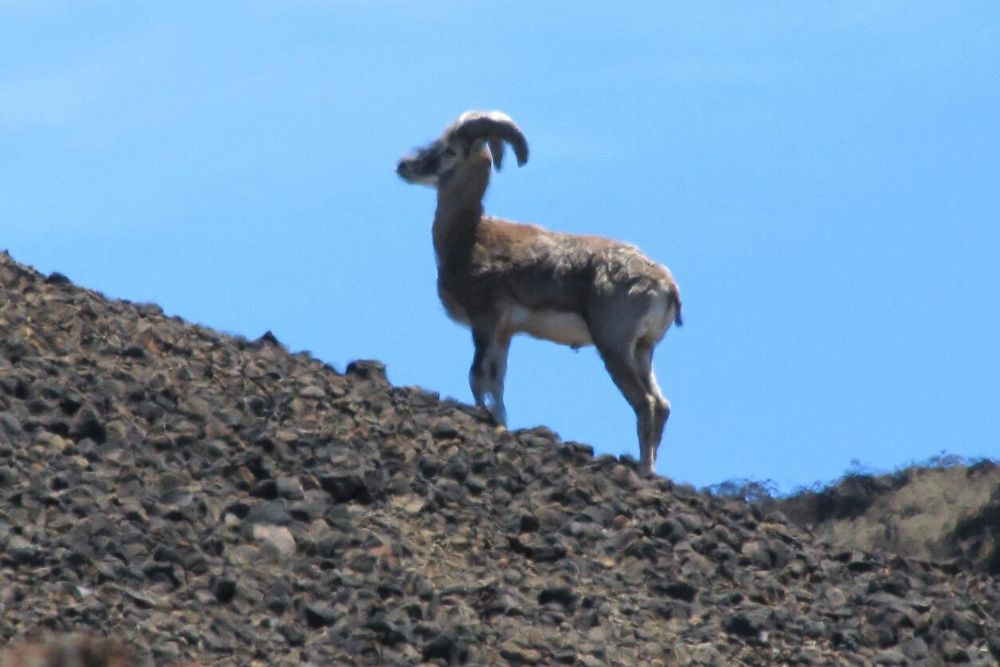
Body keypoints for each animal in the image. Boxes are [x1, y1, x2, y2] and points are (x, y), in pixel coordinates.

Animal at [394, 111, 684, 474]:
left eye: (449, 151)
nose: (404, 165)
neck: (469, 237)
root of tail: (666, 285)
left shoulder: (484, 324)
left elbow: (477, 379)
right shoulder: (504, 335)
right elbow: (497, 385)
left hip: (614, 348)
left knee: (645, 404)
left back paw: (644, 469)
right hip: (643, 351)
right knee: (662, 405)